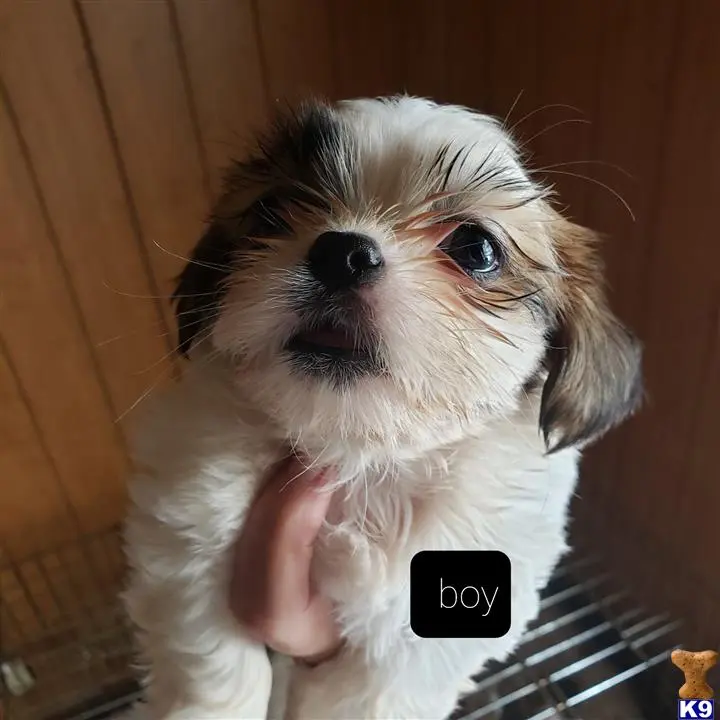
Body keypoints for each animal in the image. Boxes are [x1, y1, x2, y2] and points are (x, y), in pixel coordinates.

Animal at [121, 96, 642, 719]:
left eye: (476, 248)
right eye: (270, 211)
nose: (343, 252)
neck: (359, 456)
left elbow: (374, 689)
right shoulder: (187, 524)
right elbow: (212, 654)